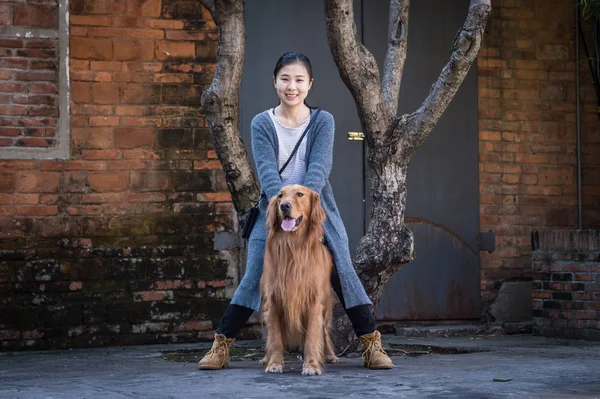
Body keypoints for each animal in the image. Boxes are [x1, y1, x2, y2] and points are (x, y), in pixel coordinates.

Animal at [262, 186, 340, 376]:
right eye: (280, 196)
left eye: (300, 194)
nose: (284, 206)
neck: (293, 246)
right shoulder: (274, 301)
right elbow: (275, 338)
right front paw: (274, 363)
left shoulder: (313, 301)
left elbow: (312, 337)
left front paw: (311, 365)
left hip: (325, 306)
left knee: (324, 332)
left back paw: (330, 355)